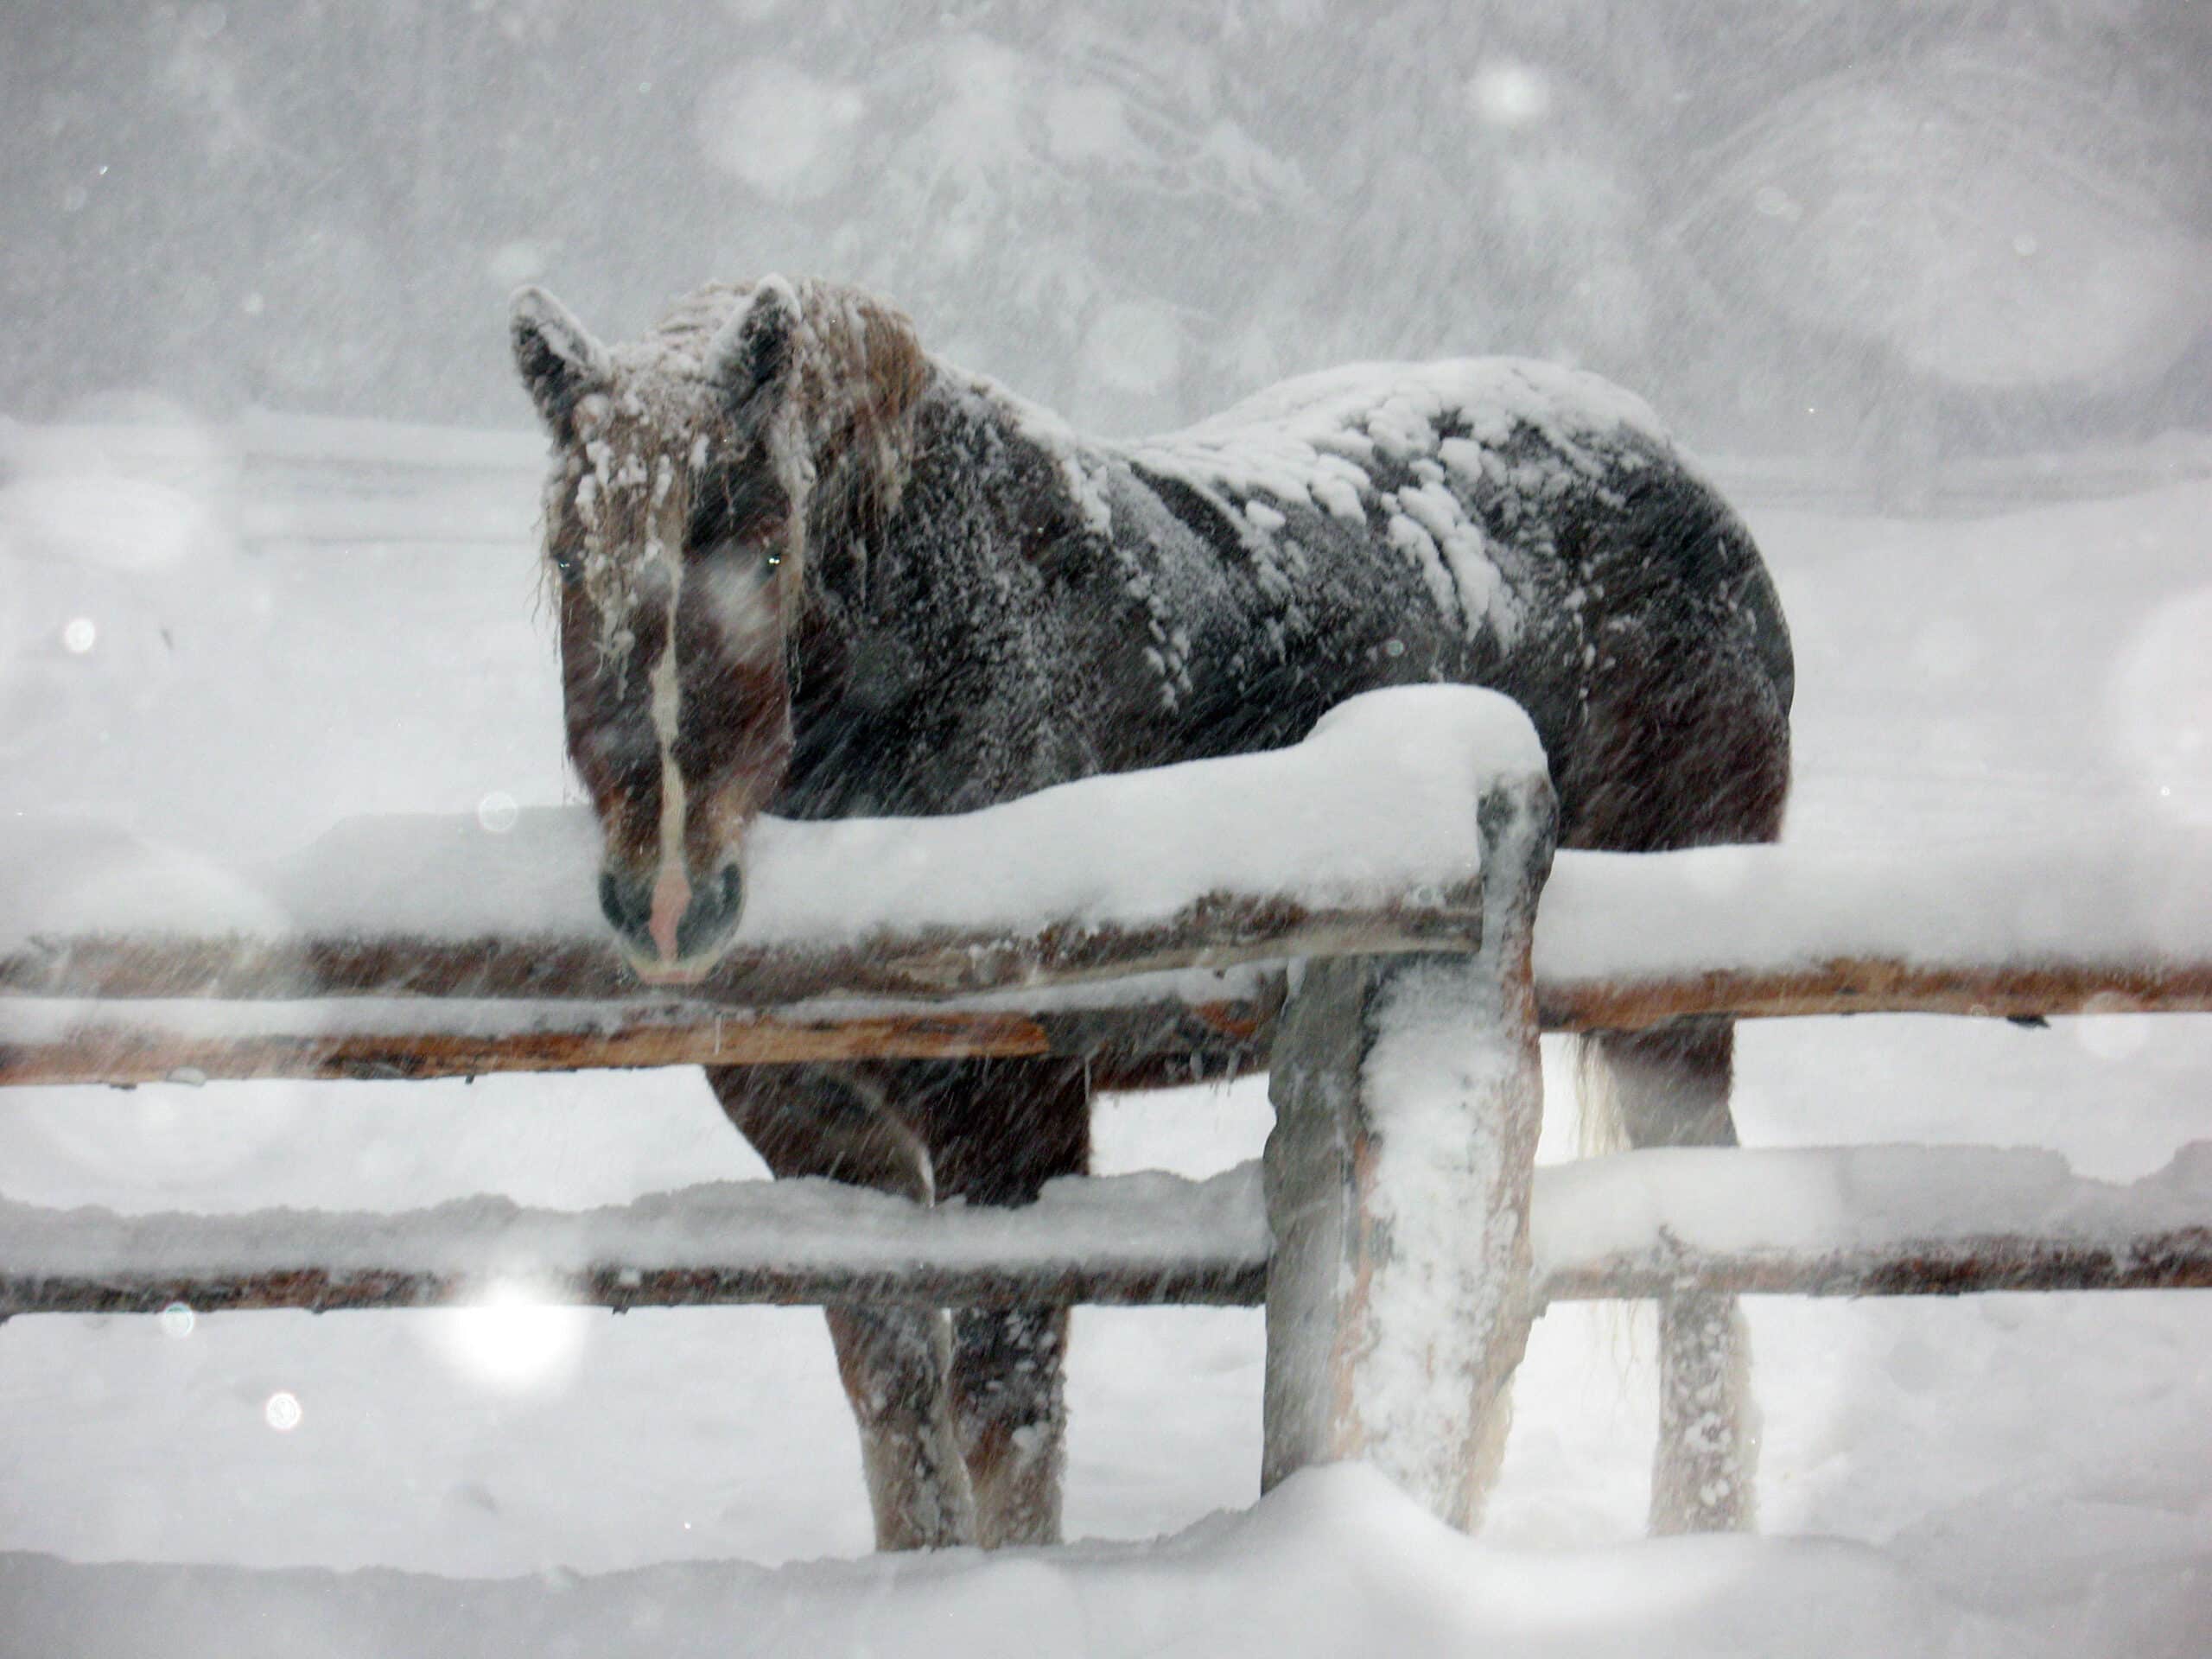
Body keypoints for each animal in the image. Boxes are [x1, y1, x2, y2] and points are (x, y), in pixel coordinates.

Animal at [508, 274, 1794, 1550]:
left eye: (771, 554)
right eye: (571, 562)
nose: (669, 903)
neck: (937, 651)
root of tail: (1688, 484)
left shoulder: (1012, 1126)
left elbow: (1005, 1416)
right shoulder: (816, 1137)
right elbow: (897, 1409)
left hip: (1672, 1029)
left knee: (1699, 1272)